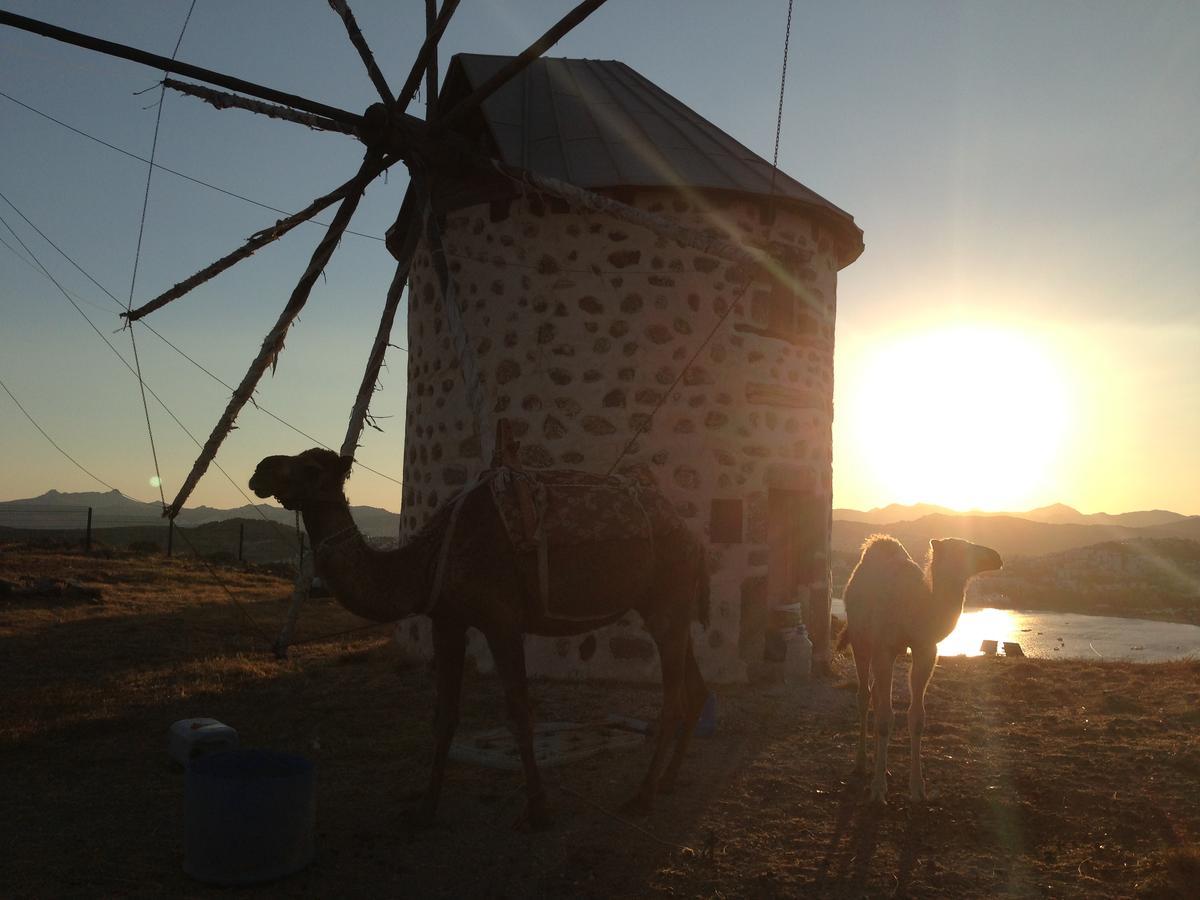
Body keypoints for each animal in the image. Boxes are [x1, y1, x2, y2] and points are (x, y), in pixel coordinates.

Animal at [844, 535, 1003, 801]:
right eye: (961, 548)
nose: (996, 557)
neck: (916, 608)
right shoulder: (883, 648)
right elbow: (886, 718)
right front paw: (877, 789)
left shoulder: (925, 649)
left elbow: (917, 717)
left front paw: (918, 788)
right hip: (860, 639)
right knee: (864, 696)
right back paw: (861, 764)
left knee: (875, 695)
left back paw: (881, 767)